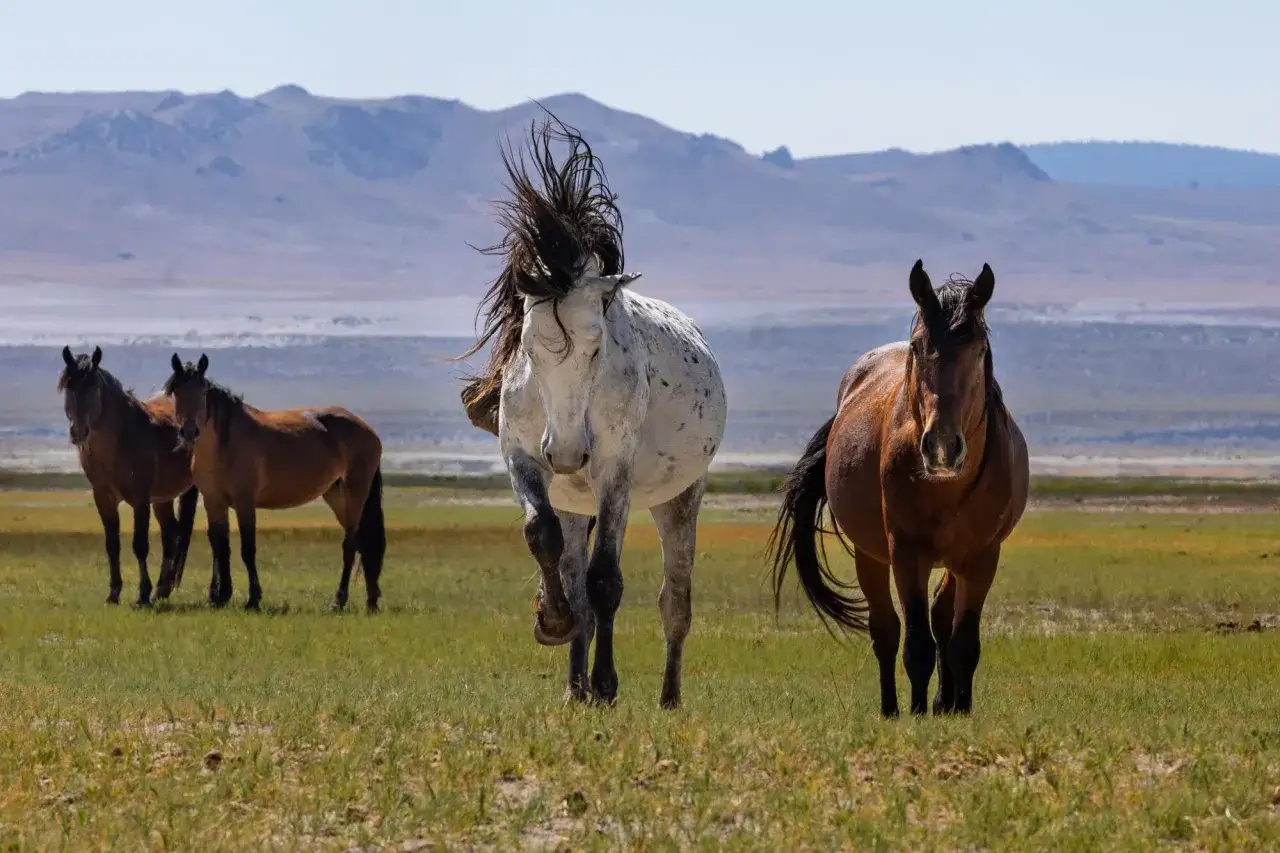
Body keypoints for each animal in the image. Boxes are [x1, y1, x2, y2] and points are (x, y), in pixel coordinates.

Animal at [58, 346, 199, 607]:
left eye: (93, 386)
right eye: (68, 386)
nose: (78, 432)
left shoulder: (140, 499)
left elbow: (140, 545)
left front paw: (143, 594)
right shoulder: (103, 498)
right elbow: (112, 545)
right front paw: (114, 593)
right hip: (162, 498)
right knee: (171, 533)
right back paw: (162, 590)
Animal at [163, 353, 386, 612]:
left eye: (202, 391)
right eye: (176, 391)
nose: (189, 432)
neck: (224, 445)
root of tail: (368, 430)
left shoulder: (245, 501)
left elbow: (247, 548)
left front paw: (253, 599)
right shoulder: (214, 502)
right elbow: (221, 546)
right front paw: (221, 597)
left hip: (355, 494)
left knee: (350, 544)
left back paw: (338, 601)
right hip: (336, 495)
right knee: (363, 542)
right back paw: (371, 601)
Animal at [458, 113, 727, 709]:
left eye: (597, 344)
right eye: (525, 346)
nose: (565, 452)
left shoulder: (614, 473)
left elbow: (607, 580)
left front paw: (607, 684)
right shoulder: (522, 459)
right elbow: (544, 539)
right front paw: (551, 623)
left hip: (678, 498)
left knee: (674, 601)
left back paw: (665, 696)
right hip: (577, 499)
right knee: (576, 573)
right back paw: (574, 686)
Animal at [768, 260, 1029, 717]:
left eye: (979, 350)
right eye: (919, 346)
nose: (941, 446)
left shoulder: (982, 557)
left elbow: (964, 642)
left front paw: (960, 709)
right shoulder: (907, 552)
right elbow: (917, 644)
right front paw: (918, 712)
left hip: (954, 560)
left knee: (942, 618)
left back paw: (946, 702)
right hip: (870, 555)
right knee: (886, 631)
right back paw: (892, 707)